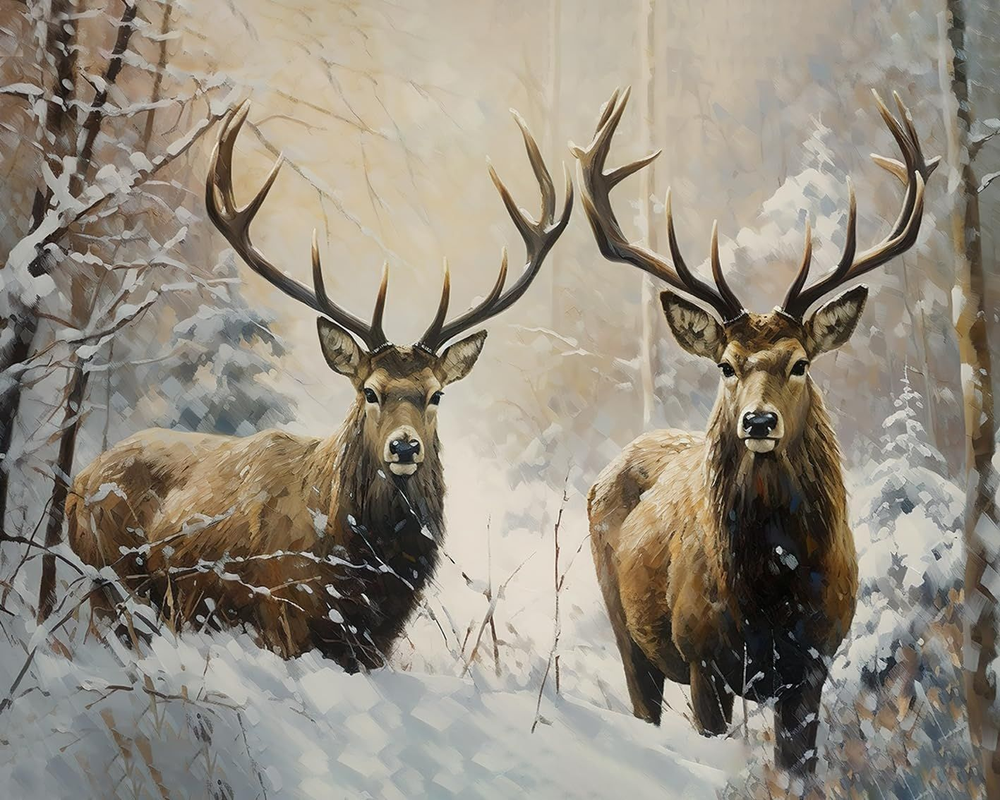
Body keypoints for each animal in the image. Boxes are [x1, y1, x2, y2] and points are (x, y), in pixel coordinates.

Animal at [67, 101, 572, 672]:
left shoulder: (376, 642)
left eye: (435, 394)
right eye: (369, 391)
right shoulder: (280, 615)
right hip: (111, 585)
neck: (362, 577)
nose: (404, 446)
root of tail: (78, 482)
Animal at [572, 87, 937, 774]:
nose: (759, 420)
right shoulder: (702, 658)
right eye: (726, 364)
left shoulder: (815, 663)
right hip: (626, 631)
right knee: (640, 699)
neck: (770, 592)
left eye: (800, 362)